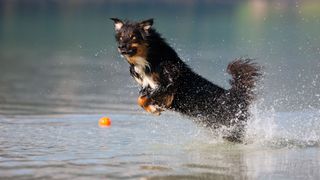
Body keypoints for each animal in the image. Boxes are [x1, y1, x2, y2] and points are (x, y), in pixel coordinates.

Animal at [111, 18, 262, 142]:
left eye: (133, 37)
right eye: (121, 37)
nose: (120, 46)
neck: (150, 60)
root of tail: (236, 95)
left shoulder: (168, 84)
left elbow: (143, 98)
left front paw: (154, 109)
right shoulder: (146, 86)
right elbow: (141, 99)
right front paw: (153, 109)